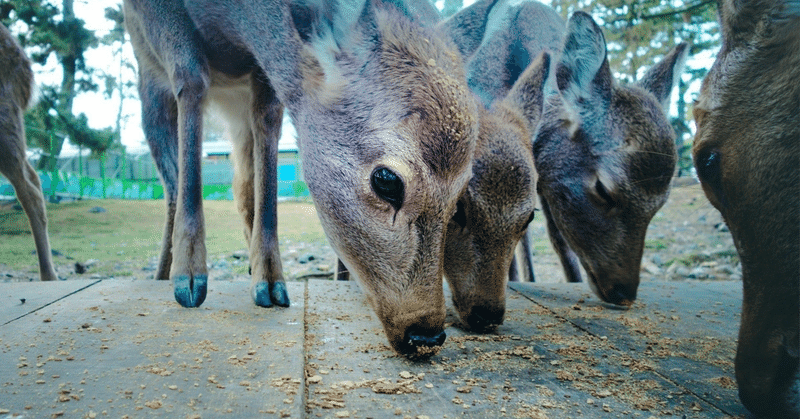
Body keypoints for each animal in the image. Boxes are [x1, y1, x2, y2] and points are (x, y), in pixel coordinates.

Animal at [123, 0, 476, 354]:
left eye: (461, 193)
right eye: (387, 180)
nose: (426, 334)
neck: (230, 24)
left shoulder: (263, 73)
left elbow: (266, 118)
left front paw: (271, 283)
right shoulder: (158, 20)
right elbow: (191, 82)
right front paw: (190, 280)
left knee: (241, 183)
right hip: (148, 82)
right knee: (171, 183)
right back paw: (164, 274)